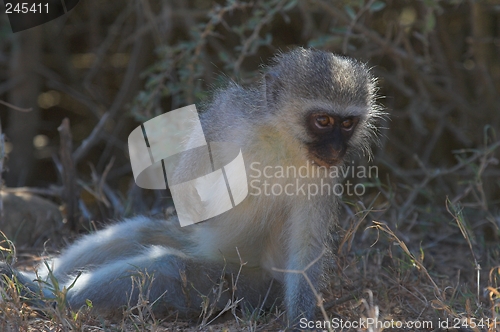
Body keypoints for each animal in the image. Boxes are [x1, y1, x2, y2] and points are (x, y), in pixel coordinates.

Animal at [0, 48, 382, 326]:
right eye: (323, 121)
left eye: (348, 123)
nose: (335, 149)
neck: (284, 140)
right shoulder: (230, 113)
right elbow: (193, 160)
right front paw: (196, 199)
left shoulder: (323, 180)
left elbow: (306, 249)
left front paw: (299, 319)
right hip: (197, 241)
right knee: (135, 233)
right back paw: (34, 280)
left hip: (239, 283)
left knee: (167, 267)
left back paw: (47, 296)